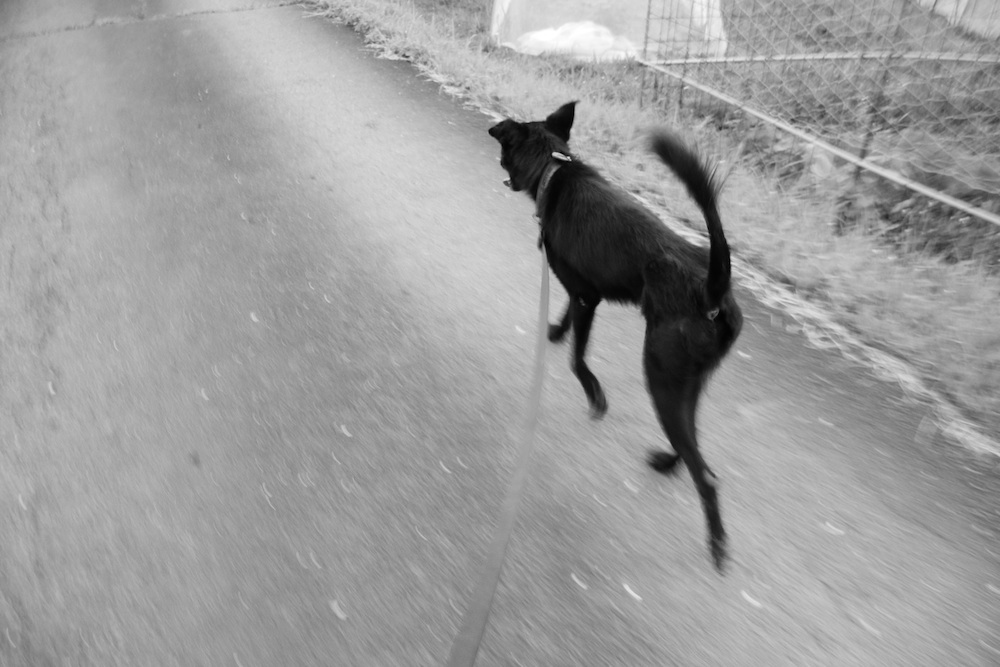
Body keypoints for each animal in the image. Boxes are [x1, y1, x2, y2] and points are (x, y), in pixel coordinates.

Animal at [488, 101, 742, 571]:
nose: (503, 174)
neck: (554, 170)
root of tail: (711, 289)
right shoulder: (582, 292)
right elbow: (567, 317)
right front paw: (555, 330)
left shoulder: (588, 297)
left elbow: (577, 358)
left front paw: (594, 395)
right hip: (688, 380)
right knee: (693, 443)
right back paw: (667, 462)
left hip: (660, 374)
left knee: (706, 475)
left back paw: (717, 546)